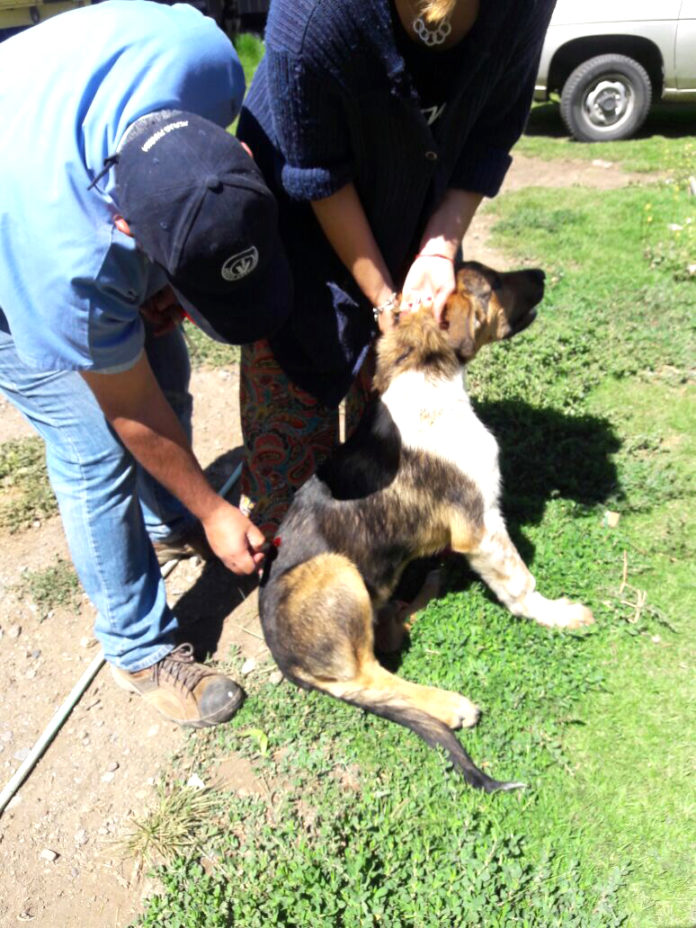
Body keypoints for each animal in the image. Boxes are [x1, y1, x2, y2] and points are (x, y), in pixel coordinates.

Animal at [258, 260, 596, 792]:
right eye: (493, 282)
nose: (541, 273)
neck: (425, 374)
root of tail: (283, 659)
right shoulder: (480, 526)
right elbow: (520, 584)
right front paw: (557, 615)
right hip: (336, 571)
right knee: (368, 676)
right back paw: (448, 704)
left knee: (388, 635)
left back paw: (419, 594)